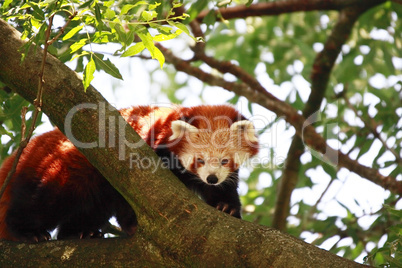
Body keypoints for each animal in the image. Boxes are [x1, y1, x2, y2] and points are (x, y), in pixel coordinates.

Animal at [0, 105, 258, 243]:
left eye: (224, 160)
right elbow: (132, 200)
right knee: (41, 202)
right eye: (200, 159)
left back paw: (82, 232)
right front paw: (132, 224)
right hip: (60, 171)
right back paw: (28, 232)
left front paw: (226, 207)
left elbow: (224, 190)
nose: (212, 178)